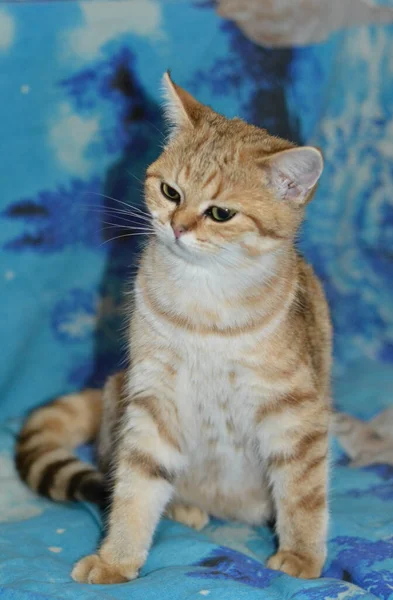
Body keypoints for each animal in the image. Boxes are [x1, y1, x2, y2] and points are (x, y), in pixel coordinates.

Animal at [16, 72, 332, 584]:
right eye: (170, 192)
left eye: (220, 213)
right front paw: (116, 559)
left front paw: (302, 557)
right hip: (118, 393)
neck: (204, 306)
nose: (178, 227)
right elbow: (136, 486)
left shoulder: (295, 407)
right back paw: (183, 508)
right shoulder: (154, 396)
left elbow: (304, 492)